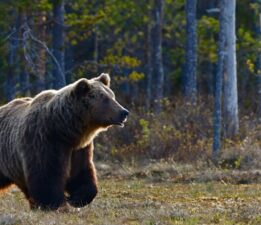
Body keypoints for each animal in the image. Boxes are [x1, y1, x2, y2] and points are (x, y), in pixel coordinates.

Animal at [0, 74, 127, 211]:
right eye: (105, 99)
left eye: (112, 96)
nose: (124, 112)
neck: (64, 130)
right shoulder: (43, 141)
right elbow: (47, 175)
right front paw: (54, 203)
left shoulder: (78, 149)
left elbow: (81, 173)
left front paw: (76, 199)